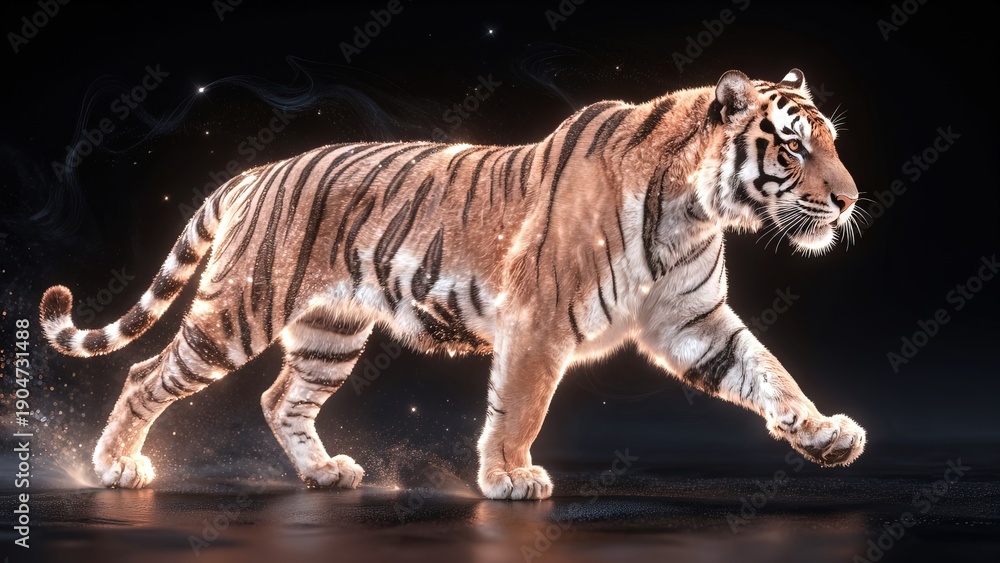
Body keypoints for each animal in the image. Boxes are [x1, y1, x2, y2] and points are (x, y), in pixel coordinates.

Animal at [41, 68, 866, 499]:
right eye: (793, 147)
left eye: (831, 140)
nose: (851, 198)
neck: (696, 211)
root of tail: (257, 172)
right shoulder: (540, 324)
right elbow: (520, 409)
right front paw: (509, 477)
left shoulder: (692, 321)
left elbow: (769, 371)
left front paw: (824, 432)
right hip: (238, 311)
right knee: (148, 373)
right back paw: (115, 467)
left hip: (329, 333)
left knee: (282, 398)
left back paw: (324, 472)